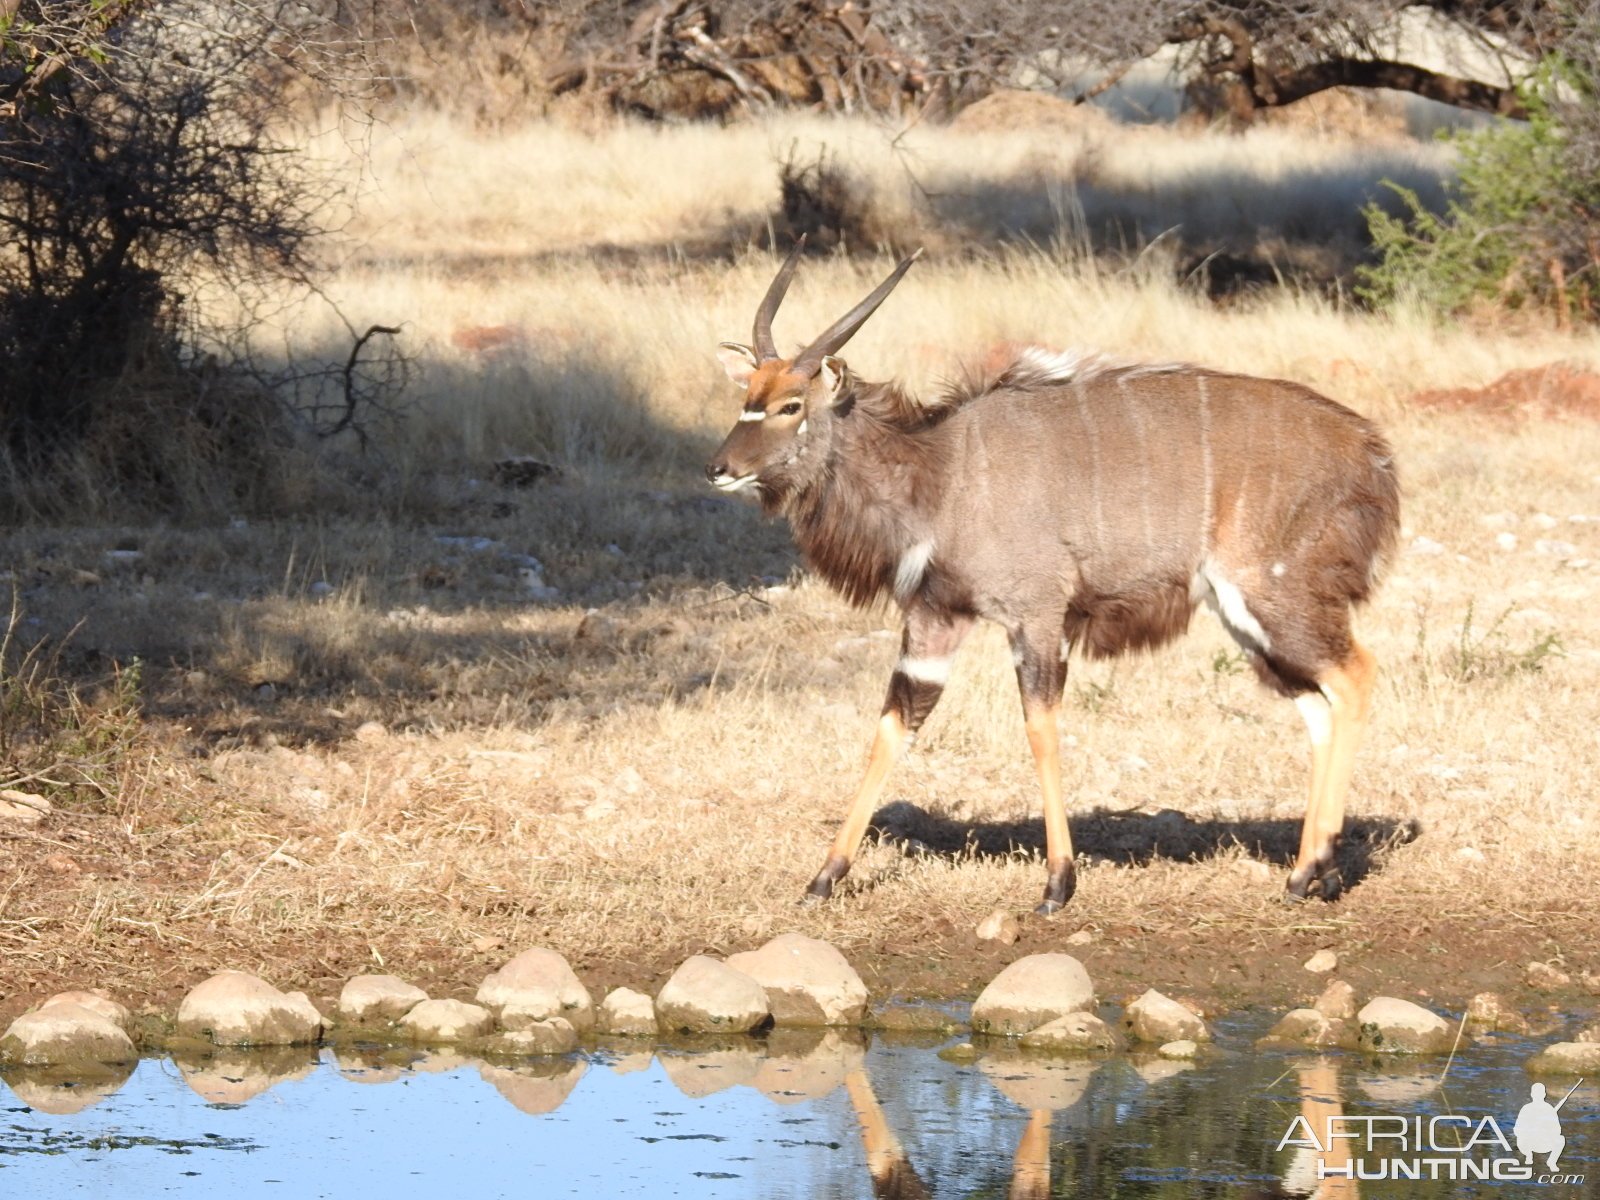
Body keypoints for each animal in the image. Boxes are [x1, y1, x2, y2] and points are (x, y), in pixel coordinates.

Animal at [707, 249, 1395, 915]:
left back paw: (1313, 869)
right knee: (1318, 705)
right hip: (1247, 619)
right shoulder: (935, 620)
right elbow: (894, 725)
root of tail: (1371, 453)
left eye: (791, 405)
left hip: (1275, 596)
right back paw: (1311, 874)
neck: (942, 473)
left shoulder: (1036, 615)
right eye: (748, 397)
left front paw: (1058, 883)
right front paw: (823, 879)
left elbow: (1040, 727)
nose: (718, 469)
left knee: (1358, 675)